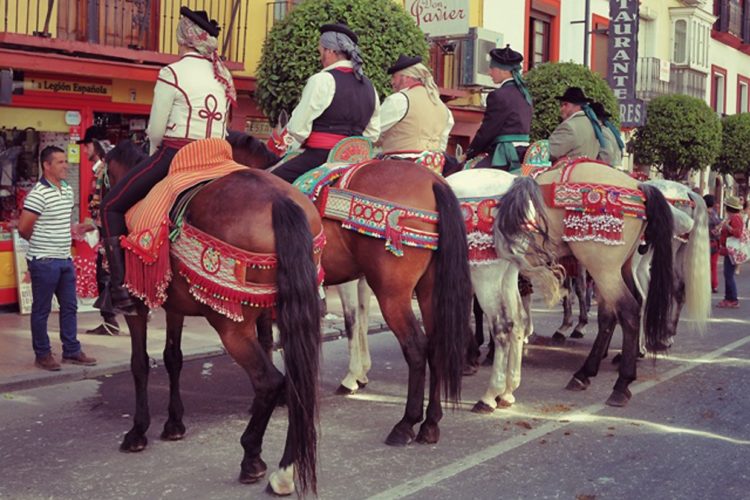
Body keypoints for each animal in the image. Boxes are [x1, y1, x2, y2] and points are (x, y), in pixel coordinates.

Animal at [103, 140, 320, 496]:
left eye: (103, 175)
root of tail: (280, 201)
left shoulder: (140, 304)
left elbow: (140, 364)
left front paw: (138, 431)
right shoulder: (175, 304)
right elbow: (173, 357)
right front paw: (174, 422)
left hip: (231, 325)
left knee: (269, 380)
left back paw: (252, 458)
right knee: (298, 382)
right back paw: (285, 471)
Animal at [232, 132, 472, 446]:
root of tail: (434, 183)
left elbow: (279, 335)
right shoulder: (354, 280)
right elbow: (355, 319)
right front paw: (357, 376)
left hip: (393, 293)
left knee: (416, 347)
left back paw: (405, 424)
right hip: (429, 288)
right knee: (436, 344)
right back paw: (430, 425)